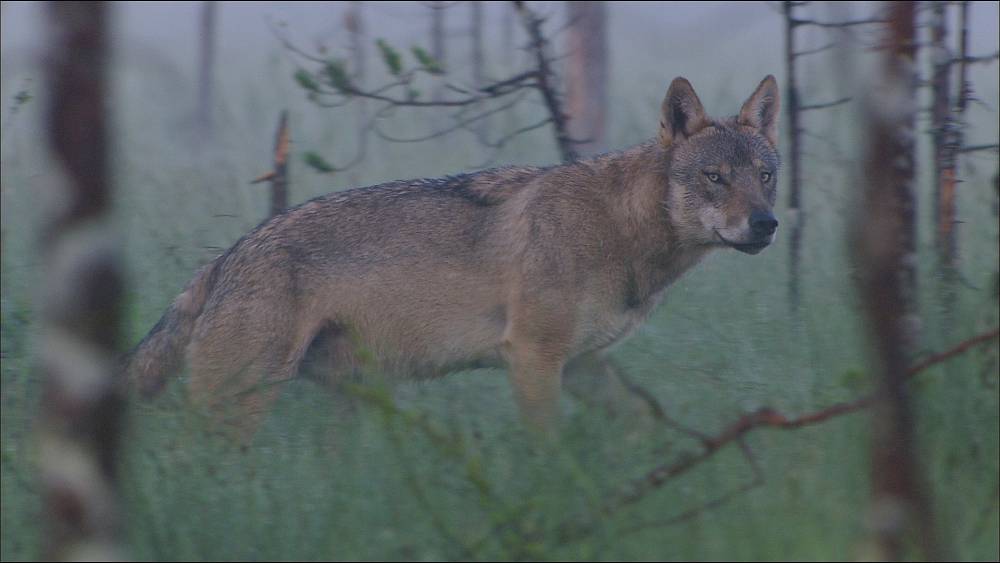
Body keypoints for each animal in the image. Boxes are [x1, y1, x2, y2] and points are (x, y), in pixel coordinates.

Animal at [125, 75, 780, 436]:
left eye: (766, 177)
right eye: (716, 178)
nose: (767, 224)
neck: (619, 229)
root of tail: (226, 257)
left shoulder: (583, 365)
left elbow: (644, 420)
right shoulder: (534, 358)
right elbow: (548, 448)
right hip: (241, 404)